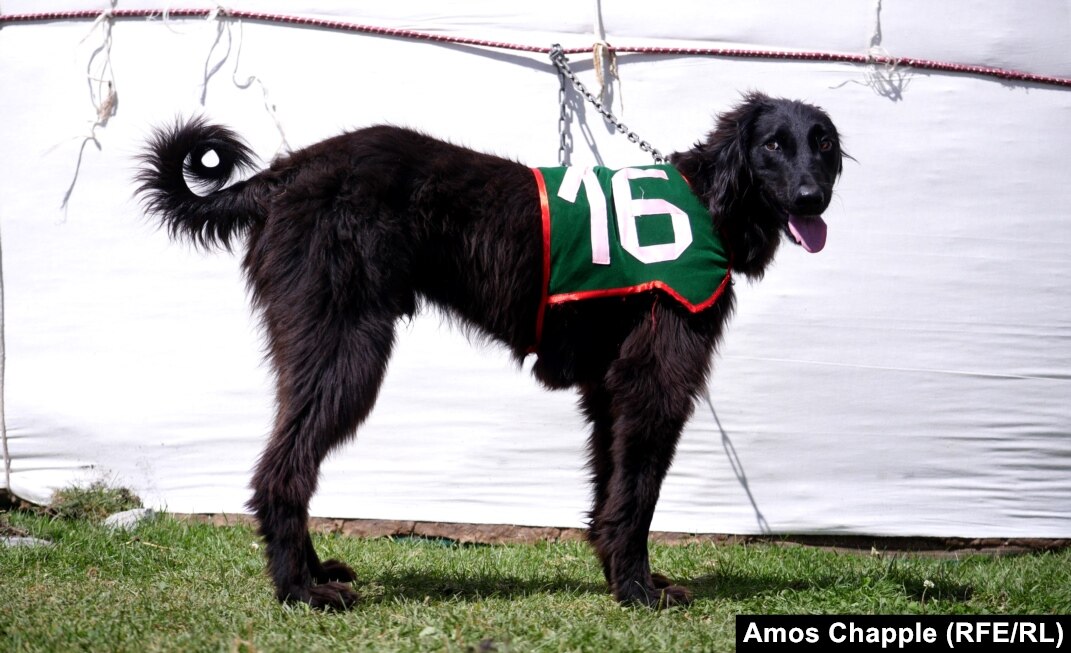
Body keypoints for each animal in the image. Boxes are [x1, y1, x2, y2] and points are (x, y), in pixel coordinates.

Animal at [136, 92, 835, 608]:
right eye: (773, 144)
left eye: (823, 143)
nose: (813, 199)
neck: (711, 199)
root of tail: (281, 176)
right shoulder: (653, 380)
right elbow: (638, 494)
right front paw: (638, 591)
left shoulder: (607, 388)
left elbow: (612, 490)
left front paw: (620, 575)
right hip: (347, 350)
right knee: (282, 469)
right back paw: (300, 592)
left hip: (315, 349)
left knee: (288, 460)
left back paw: (314, 572)